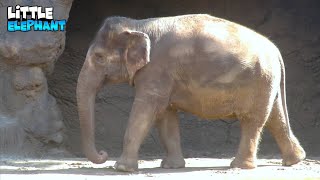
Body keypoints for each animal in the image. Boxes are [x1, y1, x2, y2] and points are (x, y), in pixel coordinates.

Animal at [76, 13, 306, 172]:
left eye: (98, 57)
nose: (104, 154)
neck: (138, 25)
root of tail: (276, 51)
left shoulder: (156, 69)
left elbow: (145, 110)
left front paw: (121, 169)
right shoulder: (164, 76)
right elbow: (165, 115)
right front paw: (171, 166)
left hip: (258, 81)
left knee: (252, 120)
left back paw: (240, 166)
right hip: (267, 82)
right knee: (276, 118)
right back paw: (295, 160)